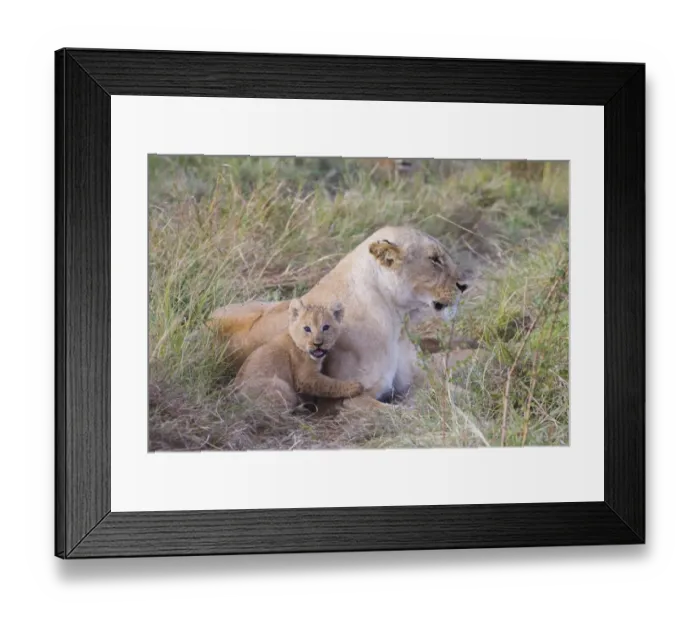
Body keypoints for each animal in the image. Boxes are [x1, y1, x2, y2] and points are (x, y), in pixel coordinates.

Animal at [231, 298, 365, 411]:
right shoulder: (305, 378)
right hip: (283, 387)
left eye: (326, 327)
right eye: (307, 329)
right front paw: (354, 386)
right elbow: (329, 384)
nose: (318, 344)